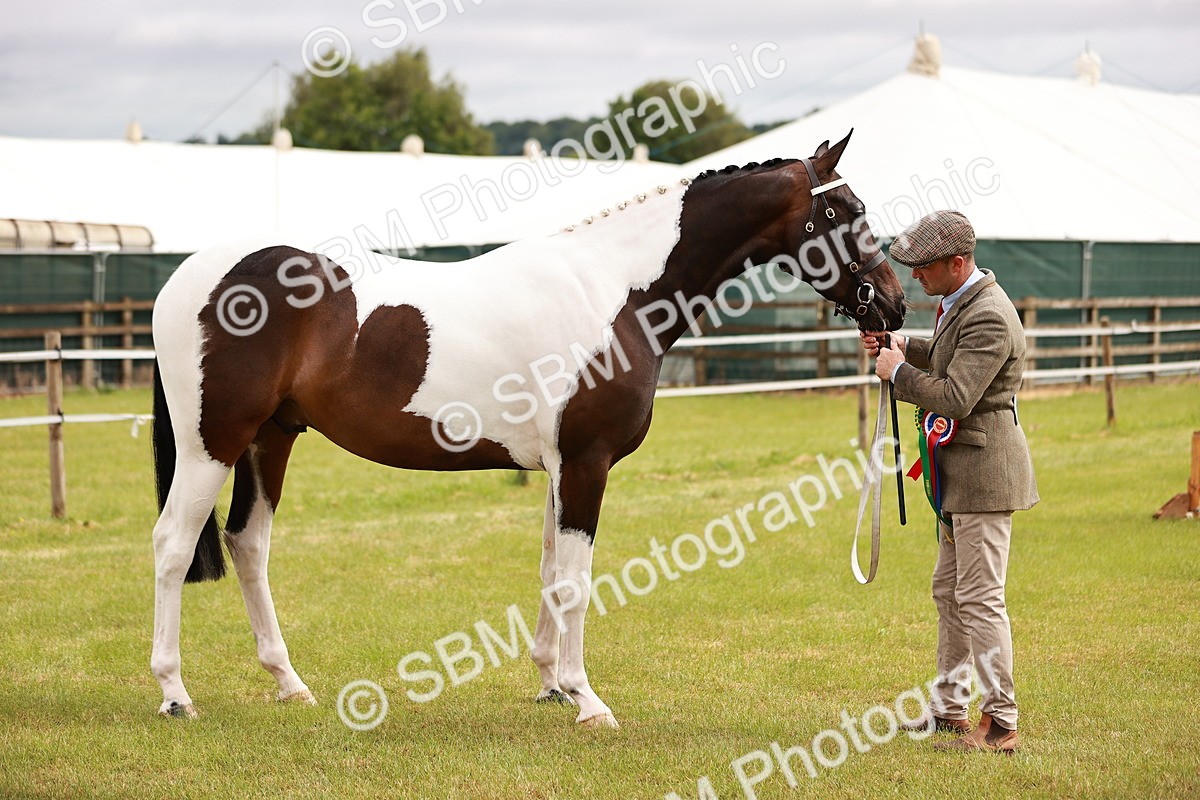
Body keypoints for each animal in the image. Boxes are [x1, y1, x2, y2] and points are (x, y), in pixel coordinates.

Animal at [149, 131, 906, 728]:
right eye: (844, 211)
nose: (894, 305)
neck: (615, 292)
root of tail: (189, 277)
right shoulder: (586, 462)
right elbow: (575, 580)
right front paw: (587, 699)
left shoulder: (560, 467)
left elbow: (549, 569)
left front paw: (549, 684)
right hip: (211, 443)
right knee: (173, 545)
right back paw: (176, 693)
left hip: (271, 438)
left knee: (248, 544)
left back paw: (290, 683)